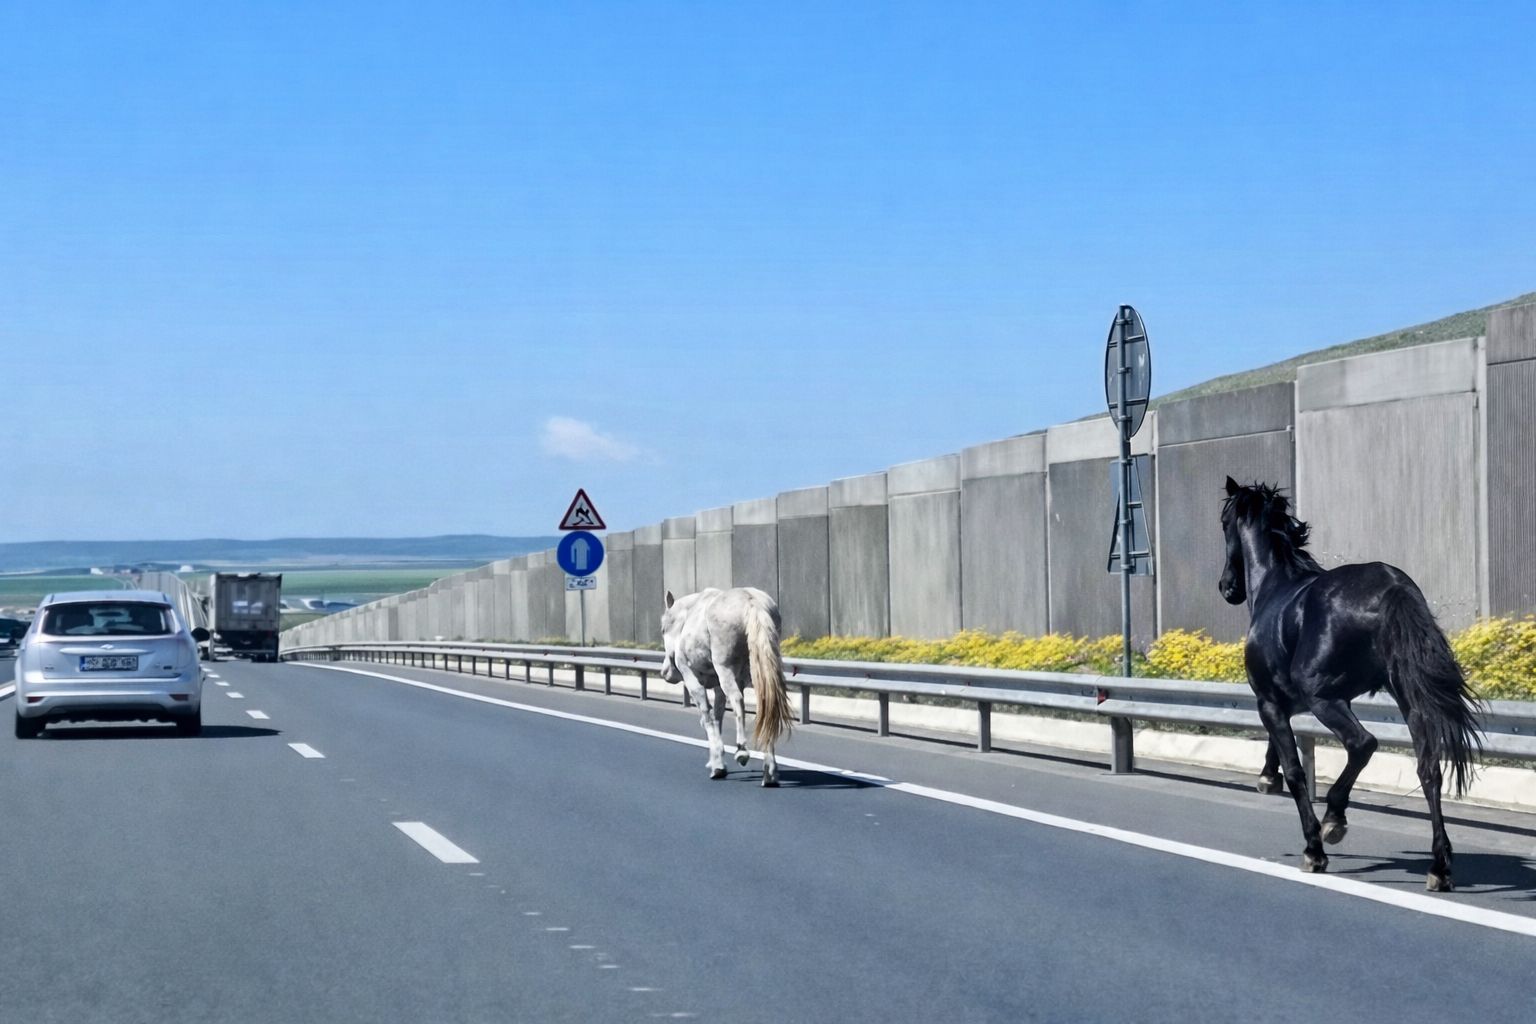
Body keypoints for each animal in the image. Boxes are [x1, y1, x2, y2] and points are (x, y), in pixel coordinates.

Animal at [659, 587, 795, 786]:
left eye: (663, 629)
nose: (665, 672)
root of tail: (752, 603)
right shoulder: (718, 686)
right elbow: (717, 716)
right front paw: (716, 760)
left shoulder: (691, 676)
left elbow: (707, 715)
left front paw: (717, 765)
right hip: (761, 666)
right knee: (768, 703)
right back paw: (769, 770)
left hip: (725, 668)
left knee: (738, 699)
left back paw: (742, 751)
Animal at [1218, 477, 1483, 891]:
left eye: (1223, 522)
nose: (1227, 587)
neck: (1275, 586)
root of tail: (1392, 587)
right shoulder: (1285, 703)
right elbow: (1280, 752)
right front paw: (1266, 777)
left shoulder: (1269, 702)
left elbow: (1294, 769)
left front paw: (1313, 847)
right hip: (1409, 697)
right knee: (1429, 769)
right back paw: (1439, 867)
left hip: (1326, 698)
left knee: (1363, 744)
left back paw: (1333, 820)